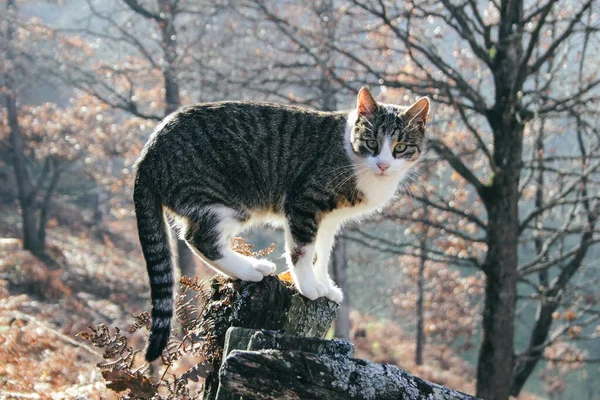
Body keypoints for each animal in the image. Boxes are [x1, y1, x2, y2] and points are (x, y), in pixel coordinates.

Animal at [134, 88, 428, 362]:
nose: (383, 164)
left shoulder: (330, 220)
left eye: (400, 147)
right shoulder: (304, 202)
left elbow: (322, 253)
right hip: (221, 199)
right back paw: (248, 270)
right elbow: (303, 250)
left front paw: (324, 284)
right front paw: (308, 286)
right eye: (371, 142)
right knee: (199, 238)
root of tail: (147, 155)